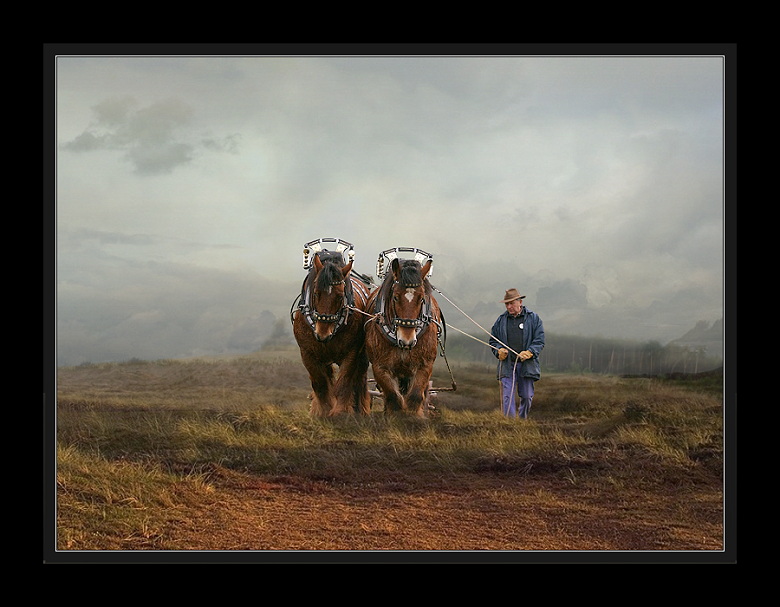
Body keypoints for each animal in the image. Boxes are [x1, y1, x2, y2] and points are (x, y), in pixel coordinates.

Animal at [292, 252, 372, 418]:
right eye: (316, 293)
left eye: (340, 296)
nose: (323, 333)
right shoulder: (307, 353)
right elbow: (320, 383)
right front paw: (323, 410)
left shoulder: (352, 352)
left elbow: (344, 381)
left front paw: (340, 411)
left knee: (360, 378)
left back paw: (361, 409)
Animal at [364, 256, 442, 418]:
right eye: (395, 297)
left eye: (421, 299)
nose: (407, 341)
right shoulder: (380, 366)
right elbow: (393, 398)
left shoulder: (425, 365)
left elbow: (415, 397)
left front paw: (414, 417)